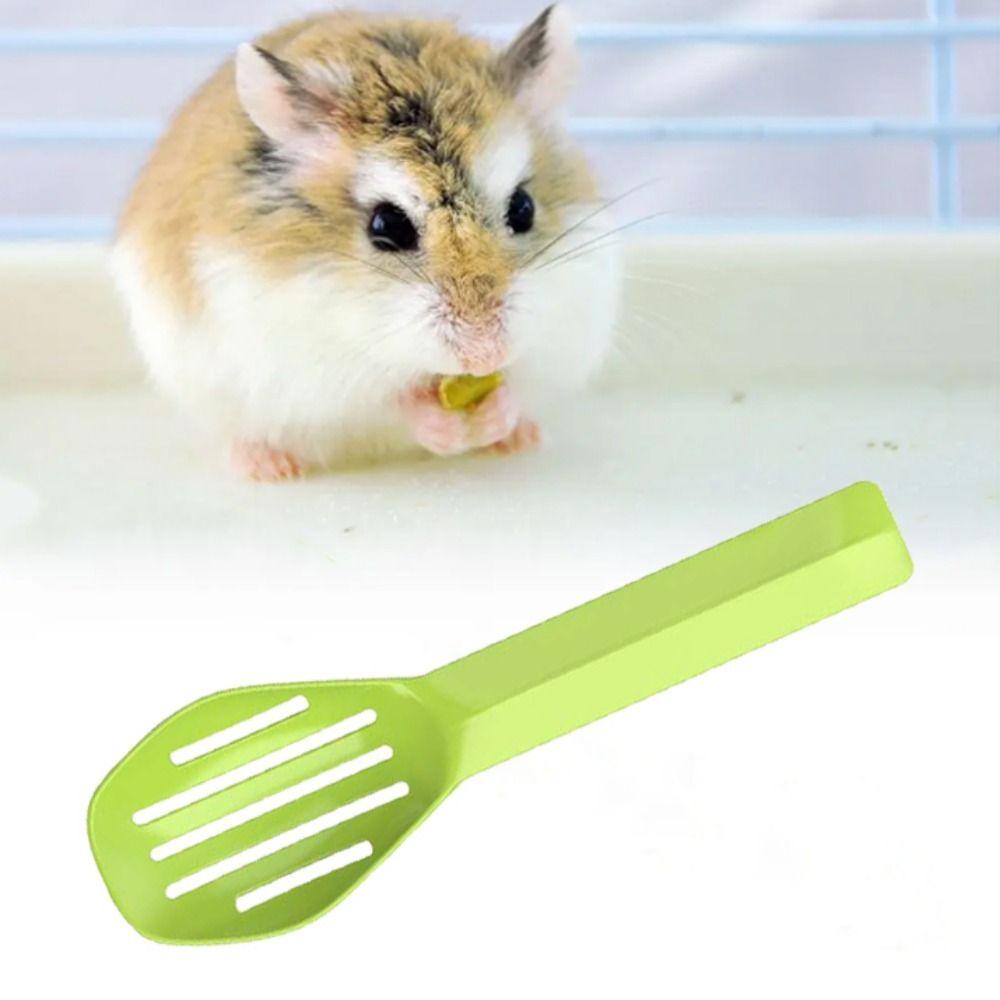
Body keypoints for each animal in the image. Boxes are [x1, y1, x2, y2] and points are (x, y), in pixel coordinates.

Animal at [113, 5, 622, 481]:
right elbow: (392, 402)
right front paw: (448, 431)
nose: (485, 356)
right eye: (387, 226)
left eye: (523, 208)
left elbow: (516, 386)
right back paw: (269, 468)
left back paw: (520, 439)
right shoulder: (316, 369)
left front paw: (498, 420)